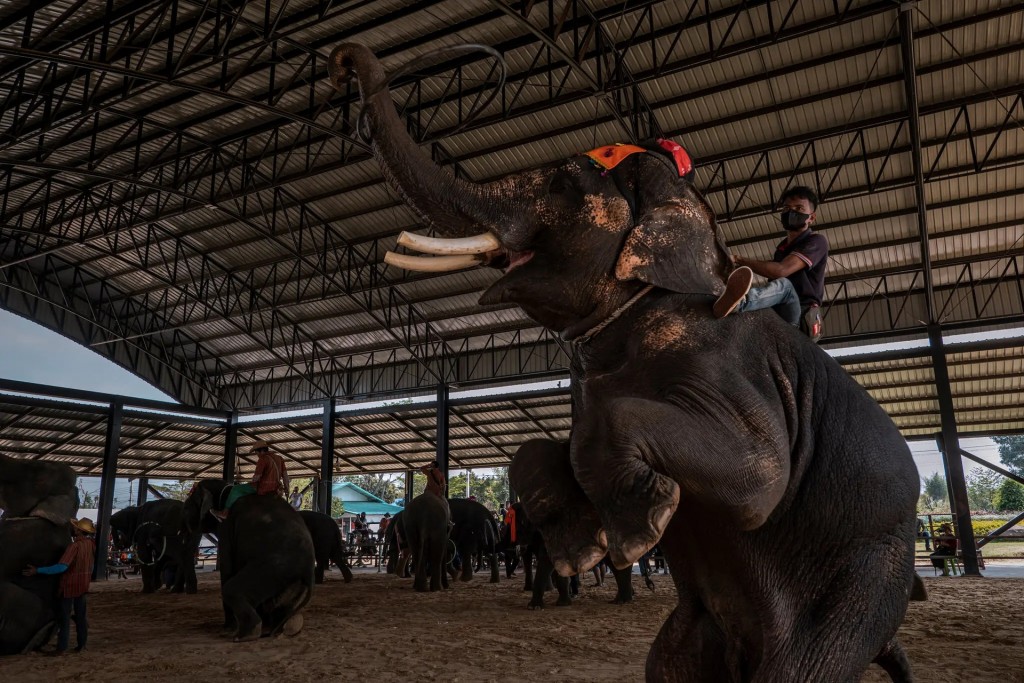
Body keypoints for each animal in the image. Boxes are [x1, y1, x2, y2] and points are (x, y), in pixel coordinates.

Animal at [216, 491, 311, 643]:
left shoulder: (227, 527)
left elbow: (227, 568)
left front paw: (227, 628)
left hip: (272, 571)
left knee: (230, 590)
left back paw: (242, 636)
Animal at [333, 44, 921, 683]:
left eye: (562, 181)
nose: (344, 59)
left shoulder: (732, 362)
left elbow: (758, 481)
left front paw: (641, 531)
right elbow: (545, 444)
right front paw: (584, 547)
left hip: (863, 581)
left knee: (801, 665)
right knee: (667, 662)